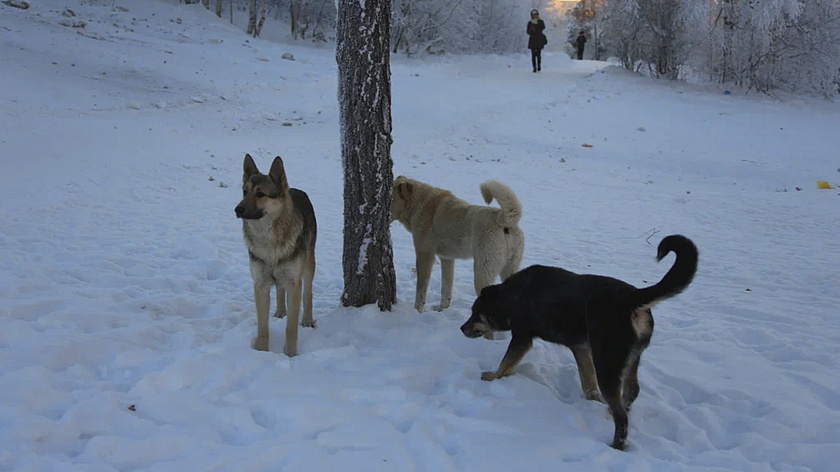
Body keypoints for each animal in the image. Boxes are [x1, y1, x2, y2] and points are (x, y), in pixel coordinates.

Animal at [460, 236, 696, 450]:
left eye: (475, 313)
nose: (462, 328)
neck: (510, 298)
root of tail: (633, 297)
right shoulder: (580, 347)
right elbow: (587, 379)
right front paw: (591, 399)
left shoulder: (522, 337)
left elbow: (506, 362)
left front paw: (493, 376)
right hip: (630, 357)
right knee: (631, 392)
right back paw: (610, 412)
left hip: (607, 362)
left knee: (622, 417)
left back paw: (616, 445)